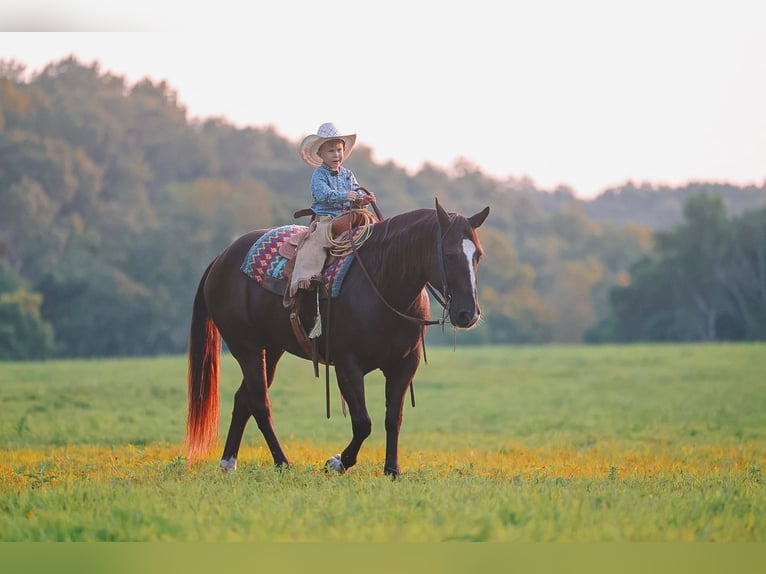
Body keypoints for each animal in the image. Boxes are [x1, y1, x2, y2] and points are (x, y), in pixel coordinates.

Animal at [185, 198, 490, 477]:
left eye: (478, 255)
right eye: (449, 254)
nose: (468, 313)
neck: (382, 284)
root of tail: (221, 258)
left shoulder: (404, 364)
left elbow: (393, 417)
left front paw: (392, 469)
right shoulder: (347, 366)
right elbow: (363, 422)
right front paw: (337, 462)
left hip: (270, 350)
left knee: (243, 399)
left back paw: (228, 463)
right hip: (245, 348)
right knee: (260, 403)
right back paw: (282, 462)